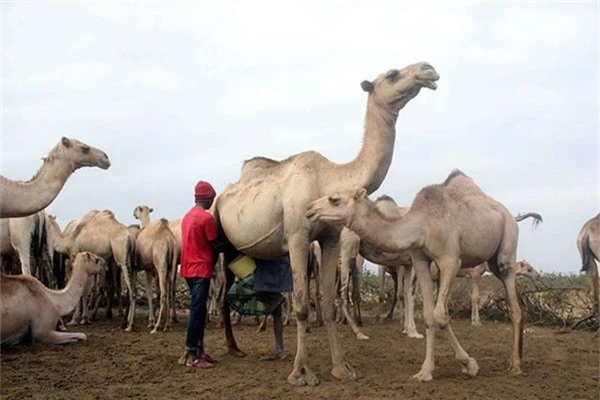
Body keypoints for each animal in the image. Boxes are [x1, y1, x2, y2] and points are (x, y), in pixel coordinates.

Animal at [213, 63, 438, 388]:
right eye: (393, 74)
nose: (427, 69)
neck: (329, 179)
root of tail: (220, 196)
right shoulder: (297, 235)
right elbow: (302, 305)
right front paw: (301, 373)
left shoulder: (331, 239)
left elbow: (329, 302)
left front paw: (342, 368)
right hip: (216, 236)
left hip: (237, 249)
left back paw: (235, 348)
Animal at [308, 169, 528, 382]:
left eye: (334, 199)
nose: (310, 208)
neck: (422, 223)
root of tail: (510, 216)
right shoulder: (420, 259)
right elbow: (429, 315)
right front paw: (426, 371)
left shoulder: (449, 260)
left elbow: (438, 313)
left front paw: (469, 364)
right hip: (493, 261)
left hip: (507, 247)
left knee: (514, 303)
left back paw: (516, 366)